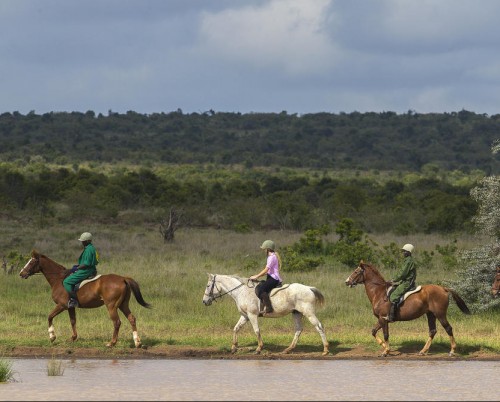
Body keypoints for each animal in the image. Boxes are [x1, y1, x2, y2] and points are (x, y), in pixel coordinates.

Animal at [19, 250, 151, 348]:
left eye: (31, 262)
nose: (21, 273)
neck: (59, 279)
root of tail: (123, 278)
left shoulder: (62, 305)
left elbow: (50, 316)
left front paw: (52, 336)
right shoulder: (70, 307)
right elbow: (73, 321)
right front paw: (73, 338)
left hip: (111, 306)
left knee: (117, 322)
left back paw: (111, 343)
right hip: (123, 304)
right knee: (131, 319)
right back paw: (137, 342)